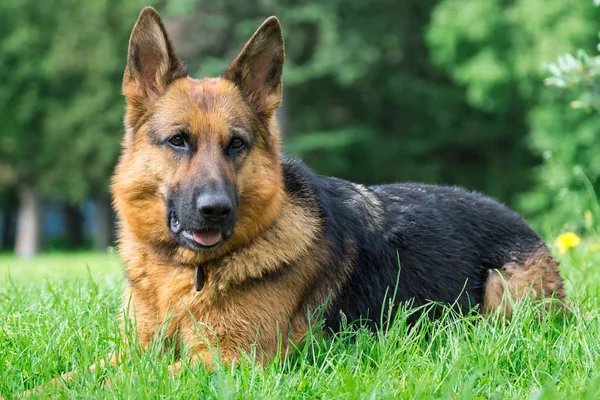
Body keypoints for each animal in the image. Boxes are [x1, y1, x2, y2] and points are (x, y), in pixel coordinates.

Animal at [110, 6, 564, 368]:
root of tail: (521, 222)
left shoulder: (228, 360)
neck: (187, 272)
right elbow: (100, 370)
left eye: (236, 144)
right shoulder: (135, 350)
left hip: (503, 293)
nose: (215, 209)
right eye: (178, 141)